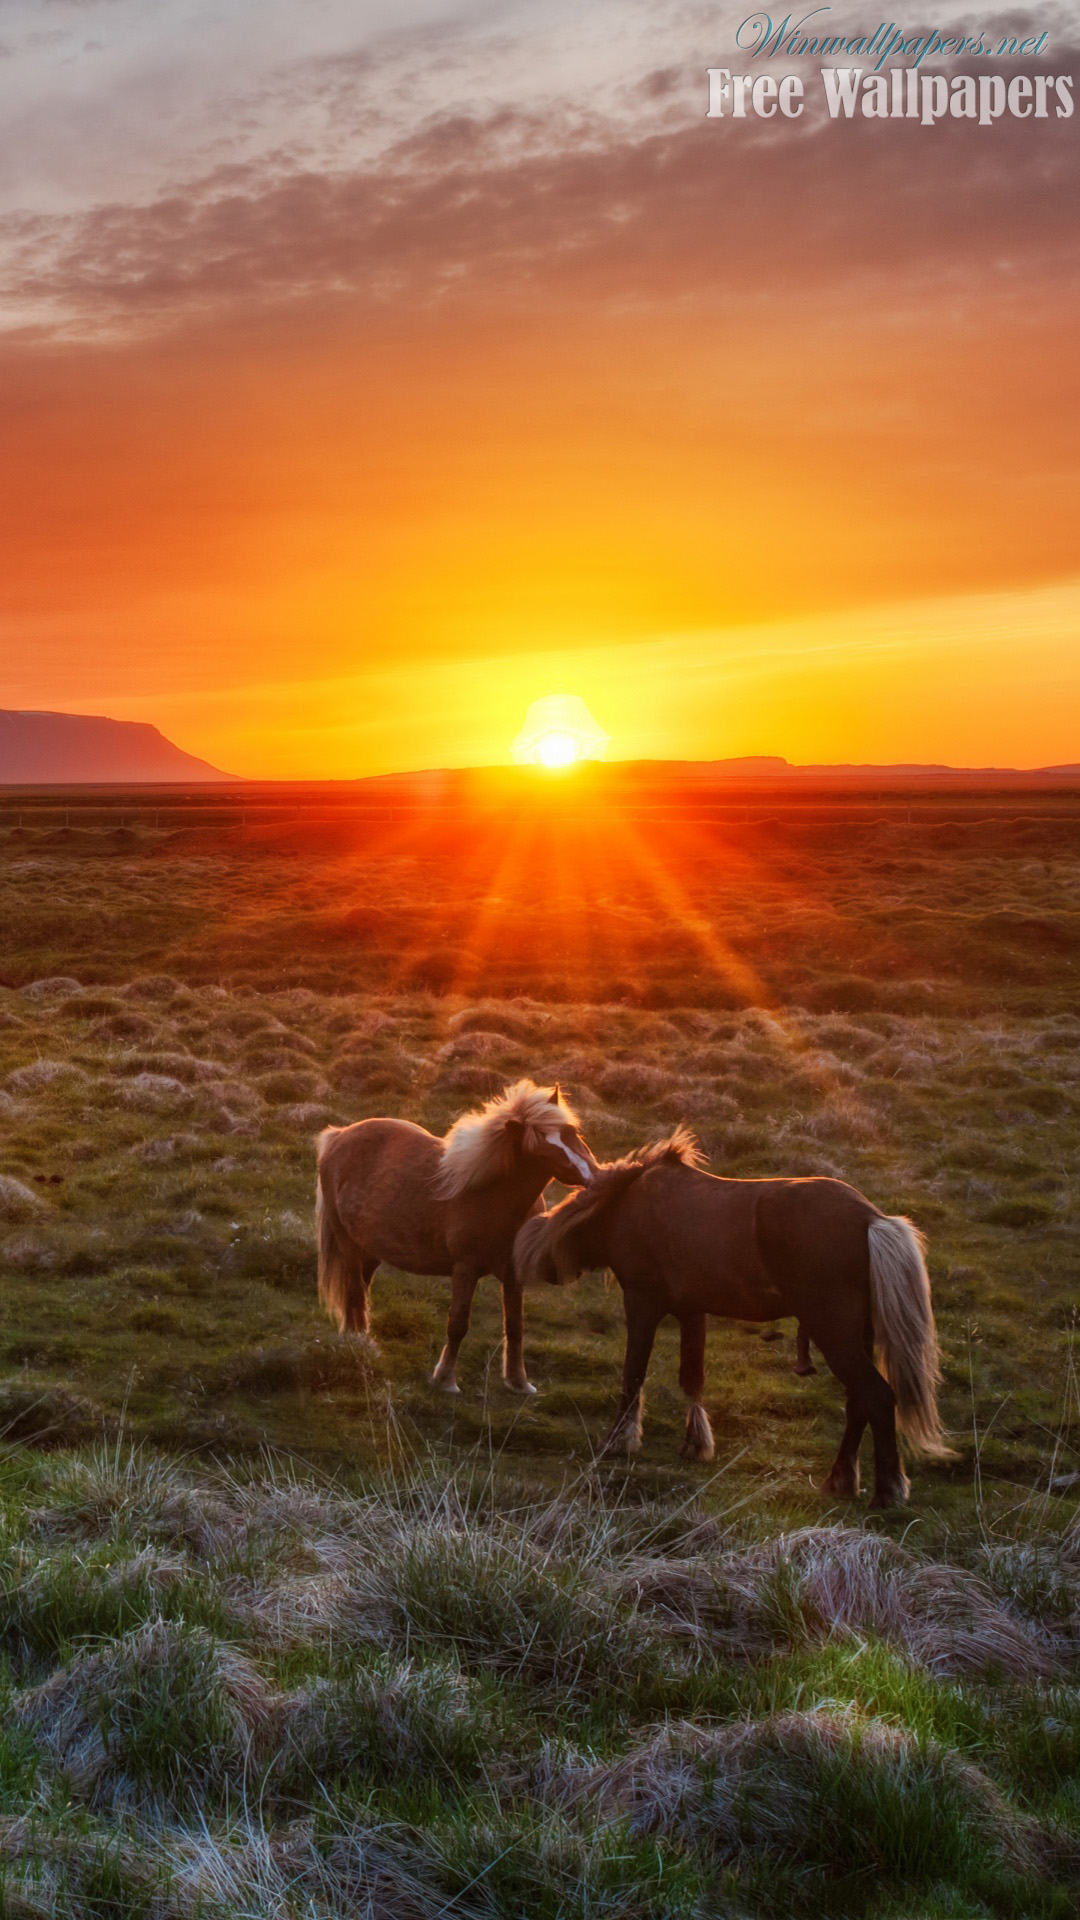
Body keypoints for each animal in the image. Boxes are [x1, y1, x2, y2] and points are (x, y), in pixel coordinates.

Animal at [311, 1082, 595, 1397]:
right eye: (541, 1153)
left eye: (572, 1132)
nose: (593, 1177)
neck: (493, 1194)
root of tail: (338, 1136)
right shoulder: (465, 1269)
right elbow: (458, 1324)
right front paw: (445, 1379)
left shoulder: (513, 1275)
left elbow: (515, 1327)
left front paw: (519, 1383)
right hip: (347, 1244)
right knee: (354, 1292)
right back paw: (362, 1344)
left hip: (369, 1251)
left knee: (359, 1290)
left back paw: (355, 1339)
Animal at [511, 1128, 949, 1505]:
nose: (547, 1270)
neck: (625, 1206)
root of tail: (871, 1219)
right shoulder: (692, 1311)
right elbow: (692, 1380)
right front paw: (696, 1443)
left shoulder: (642, 1304)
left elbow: (633, 1377)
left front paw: (619, 1441)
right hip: (857, 1335)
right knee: (859, 1401)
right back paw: (840, 1480)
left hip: (833, 1331)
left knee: (877, 1396)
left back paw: (888, 1491)